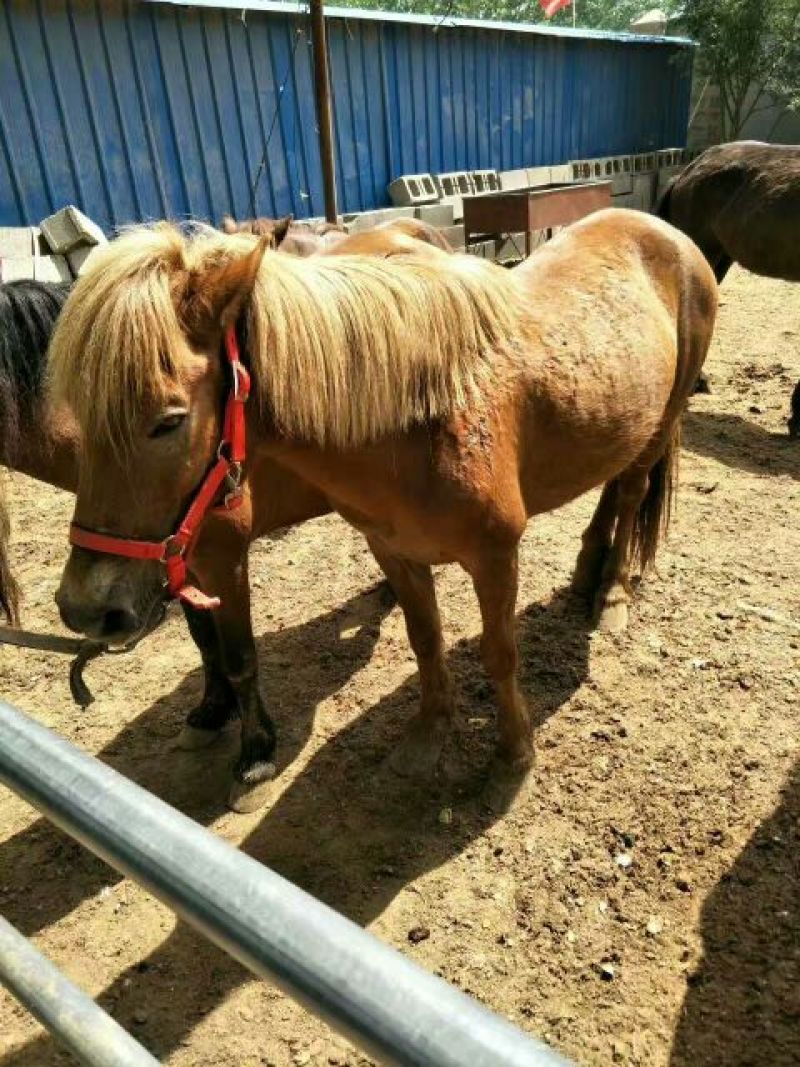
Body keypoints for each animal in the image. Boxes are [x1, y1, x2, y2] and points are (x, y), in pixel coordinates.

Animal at [49, 209, 717, 805]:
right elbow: (425, 640)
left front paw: (513, 758)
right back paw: (585, 574)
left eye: (169, 421)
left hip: (664, 419)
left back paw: (612, 594)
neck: (424, 418)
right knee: (610, 487)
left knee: (630, 493)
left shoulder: (495, 557)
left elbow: (499, 655)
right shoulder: (394, 552)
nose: (86, 609)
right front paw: (427, 739)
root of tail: (664, 232)